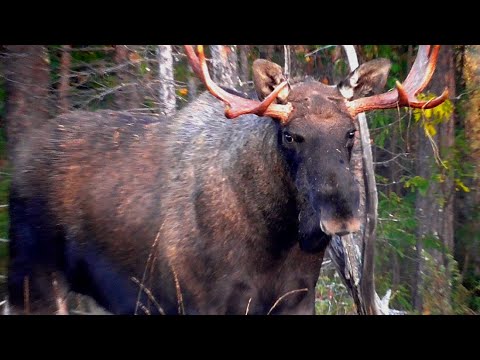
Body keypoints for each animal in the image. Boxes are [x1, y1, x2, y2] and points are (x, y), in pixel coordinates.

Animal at [4, 45, 446, 316]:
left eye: (351, 132)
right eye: (290, 135)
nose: (340, 215)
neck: (276, 242)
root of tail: (17, 163)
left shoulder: (297, 300)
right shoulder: (200, 301)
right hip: (32, 282)